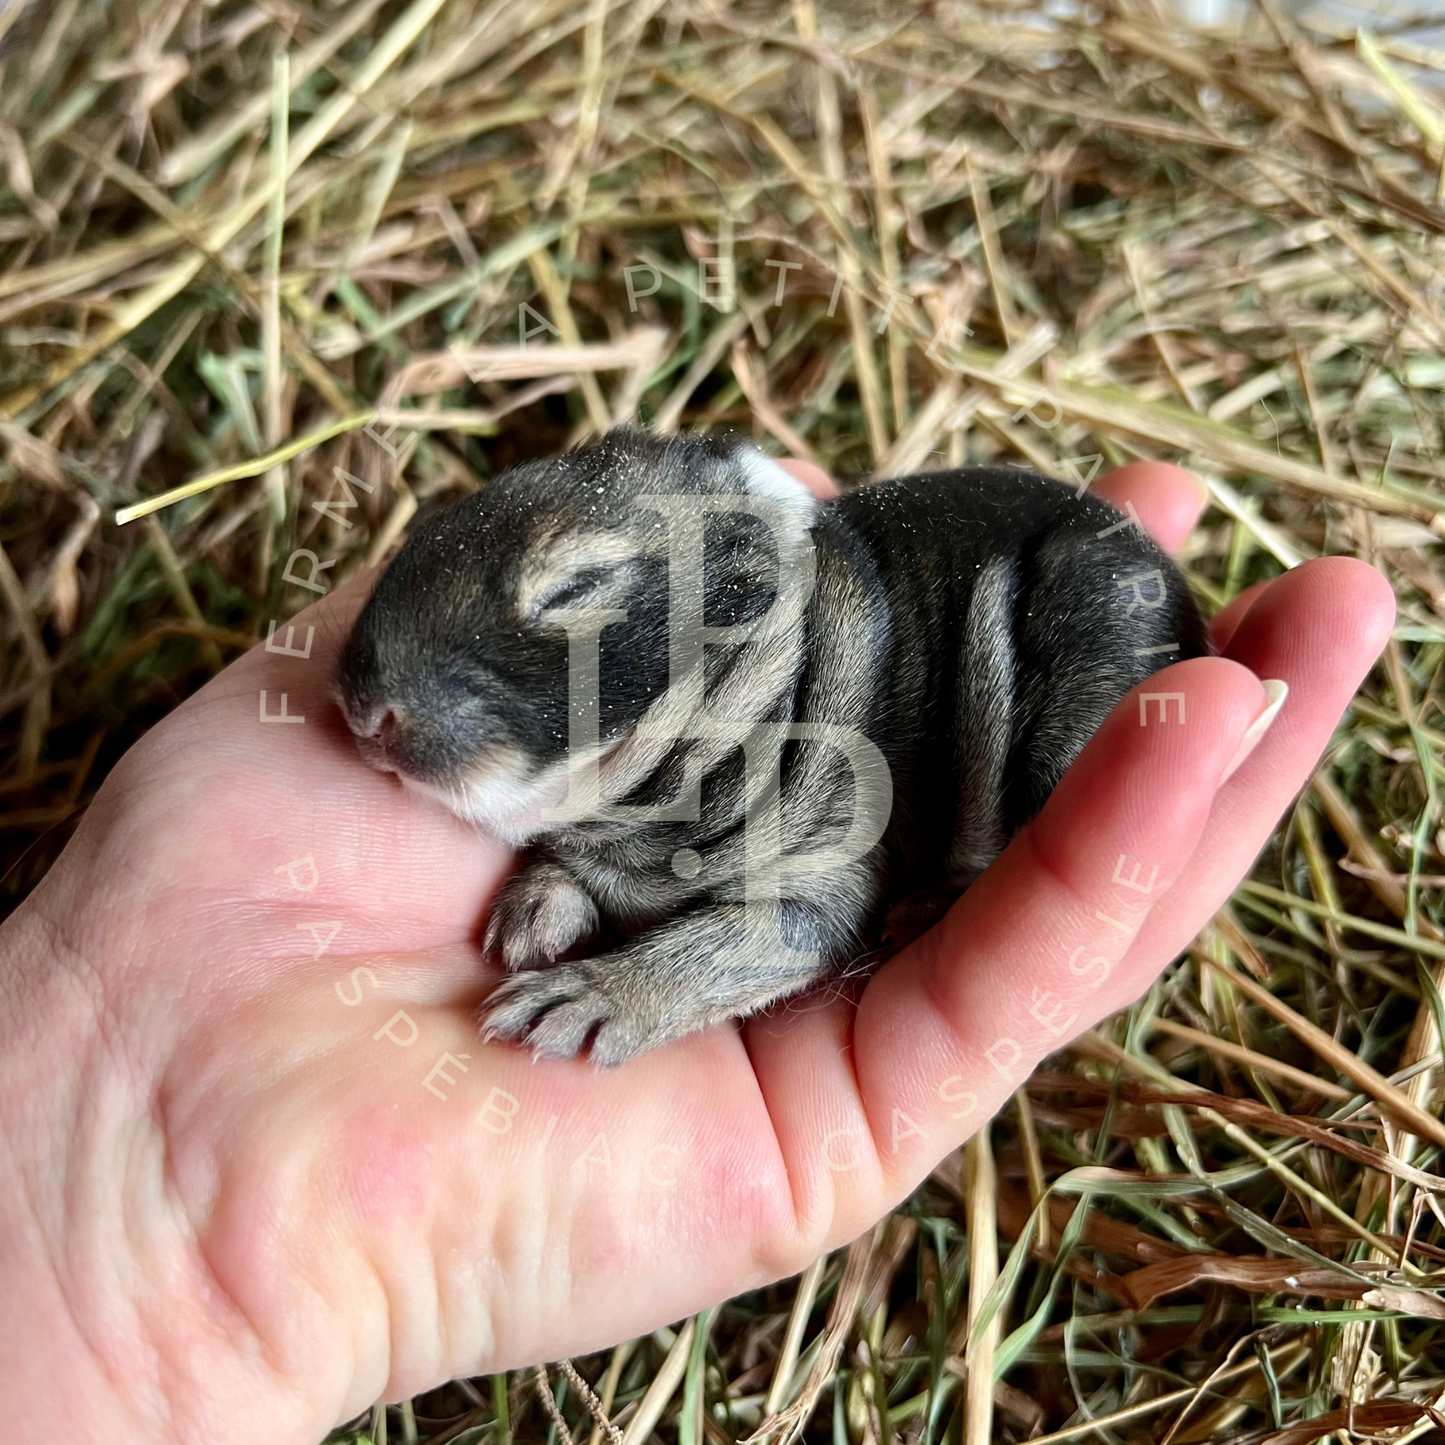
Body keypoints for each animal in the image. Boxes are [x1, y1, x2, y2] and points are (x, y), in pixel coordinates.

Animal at [335, 426, 1209, 1065]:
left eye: (573, 590)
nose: (358, 709)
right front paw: (531, 911)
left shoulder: (824, 869)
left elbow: (728, 944)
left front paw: (584, 996)